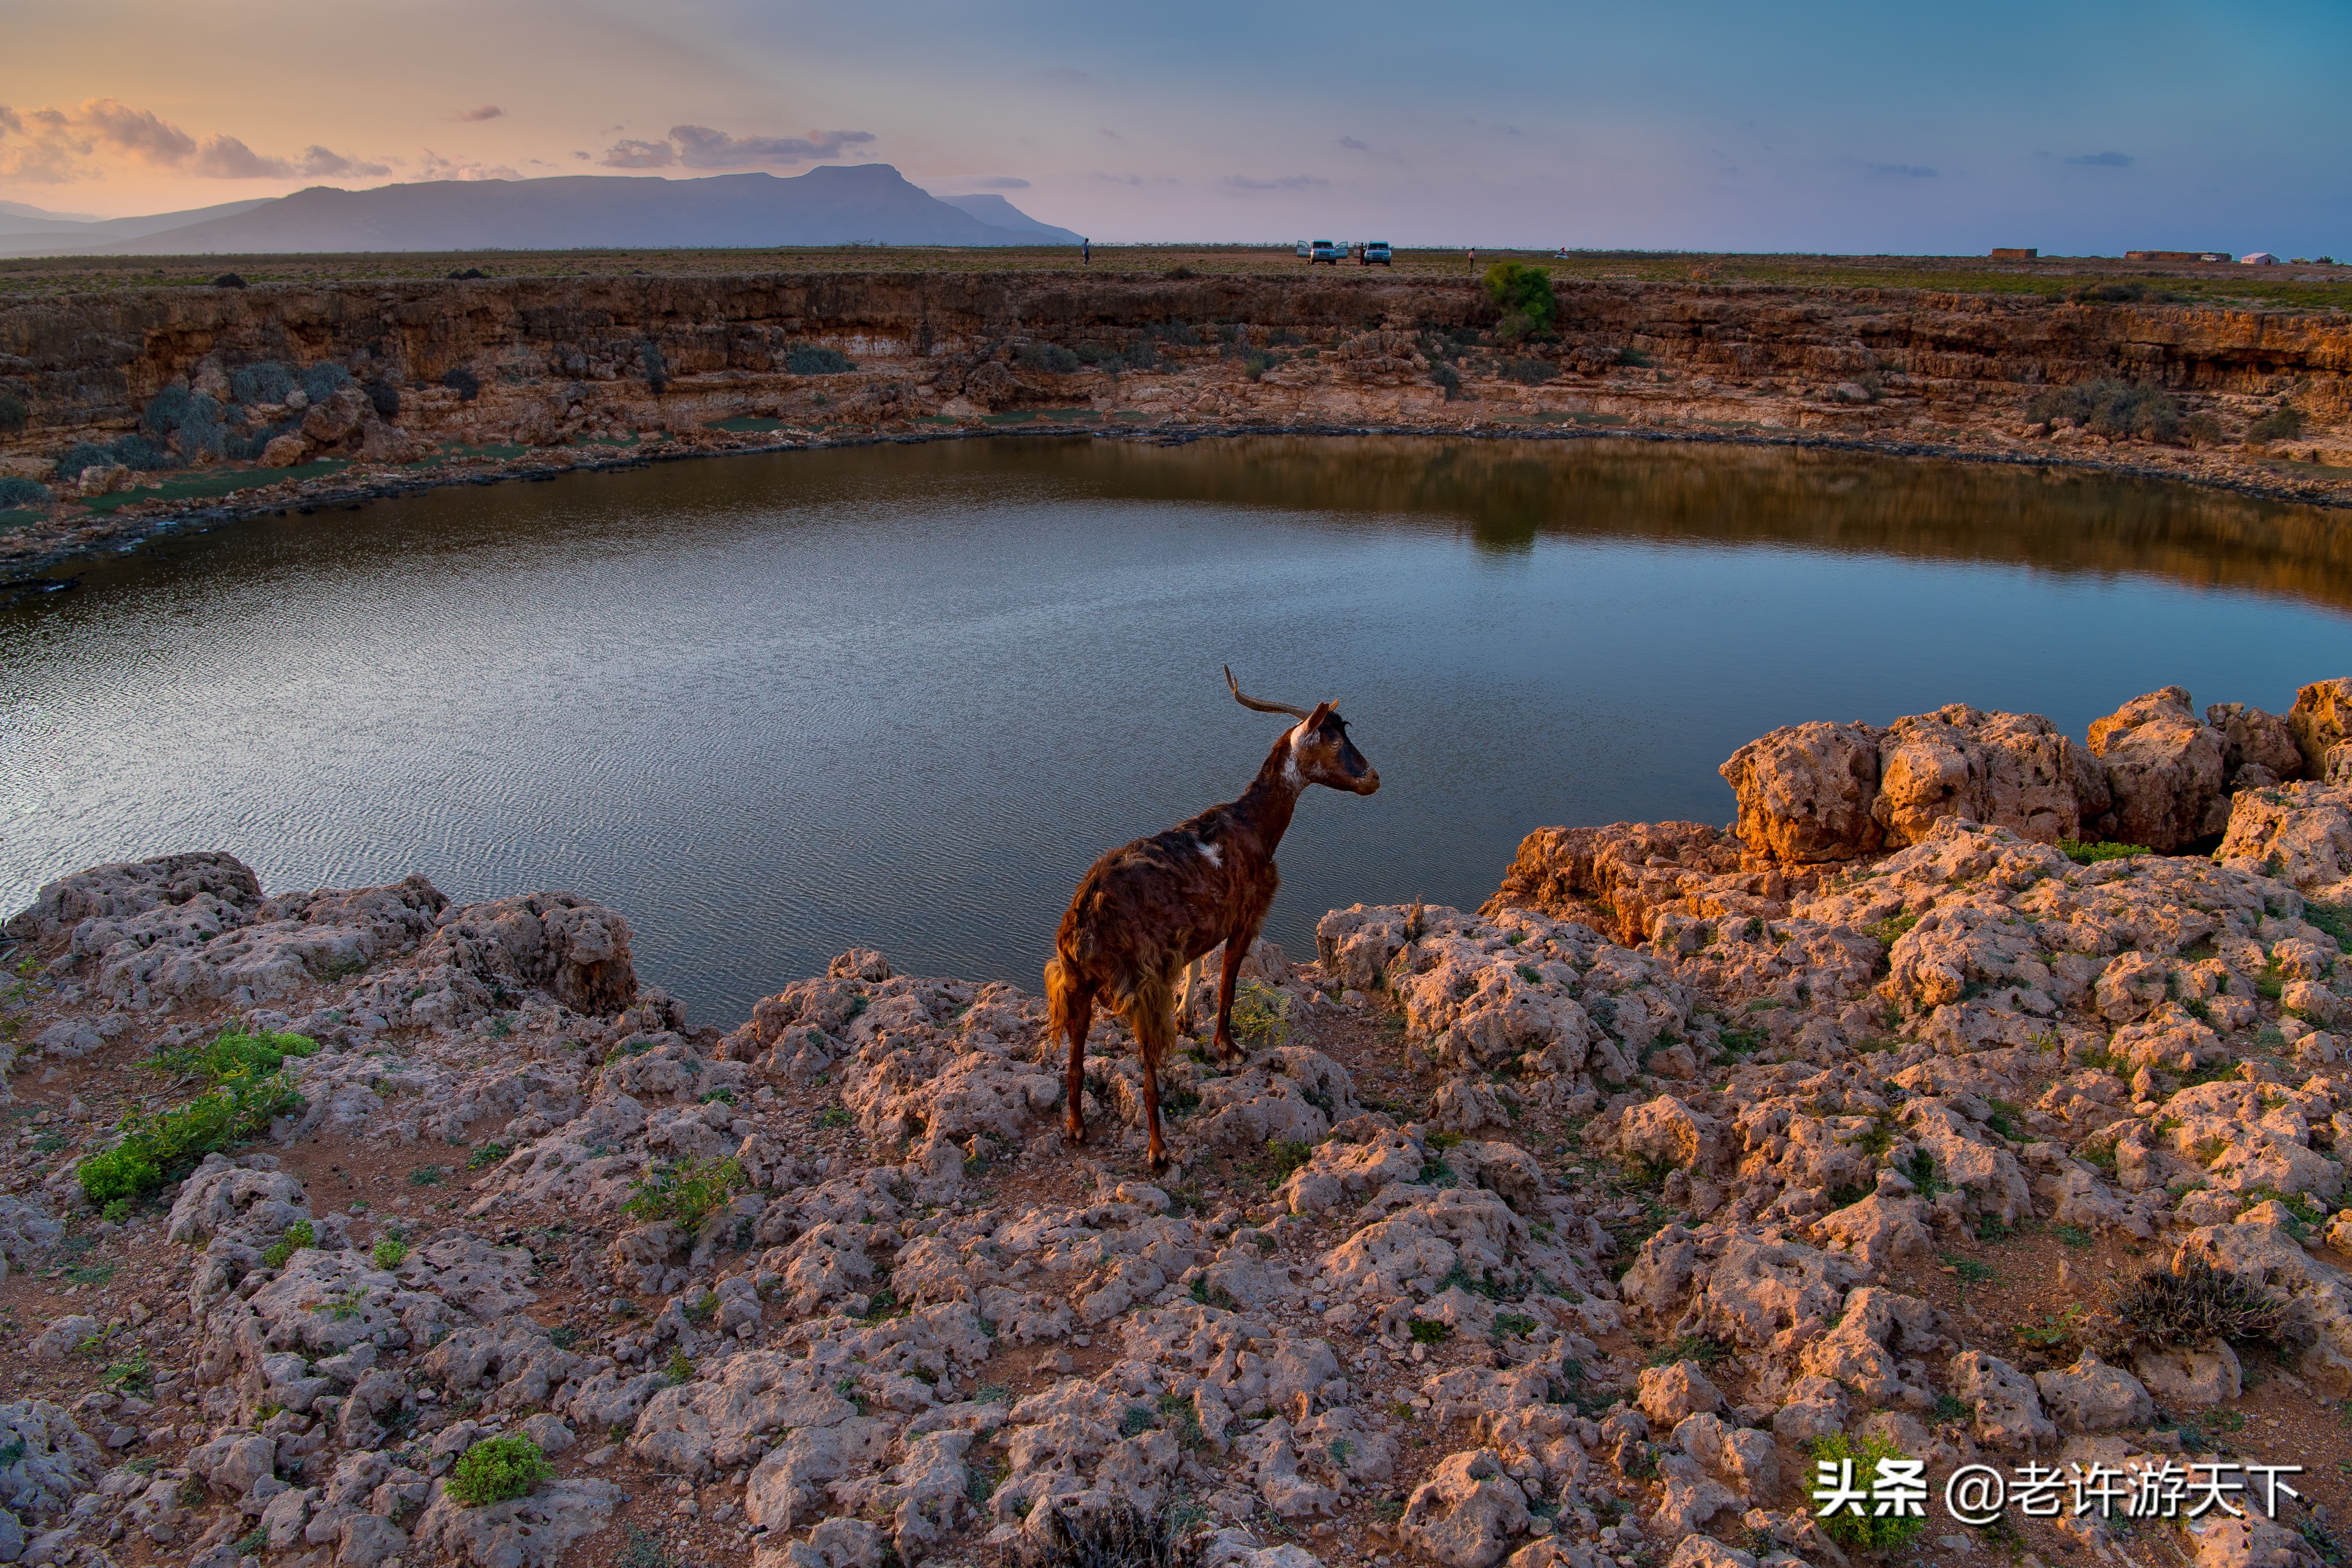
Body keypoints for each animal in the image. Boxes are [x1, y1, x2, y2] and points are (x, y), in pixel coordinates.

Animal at [1049, 667, 1374, 1171]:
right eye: (1333, 739)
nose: (1373, 777)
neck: (1252, 823)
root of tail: (1084, 920)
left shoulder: (1196, 935)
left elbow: (1198, 966)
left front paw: (1188, 1021)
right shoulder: (1244, 919)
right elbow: (1227, 986)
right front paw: (1229, 1047)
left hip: (1076, 984)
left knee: (1074, 1060)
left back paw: (1077, 1126)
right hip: (1140, 986)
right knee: (1146, 1070)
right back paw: (1158, 1149)